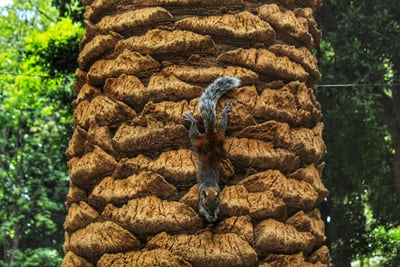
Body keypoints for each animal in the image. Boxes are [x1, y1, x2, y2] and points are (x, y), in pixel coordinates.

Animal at [184, 76, 241, 223]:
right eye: (205, 202)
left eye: (218, 201)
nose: (211, 212)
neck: (209, 186)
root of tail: (210, 135)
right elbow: (201, 210)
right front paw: (209, 217)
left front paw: (214, 216)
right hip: (201, 140)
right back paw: (192, 118)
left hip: (215, 137)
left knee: (220, 124)